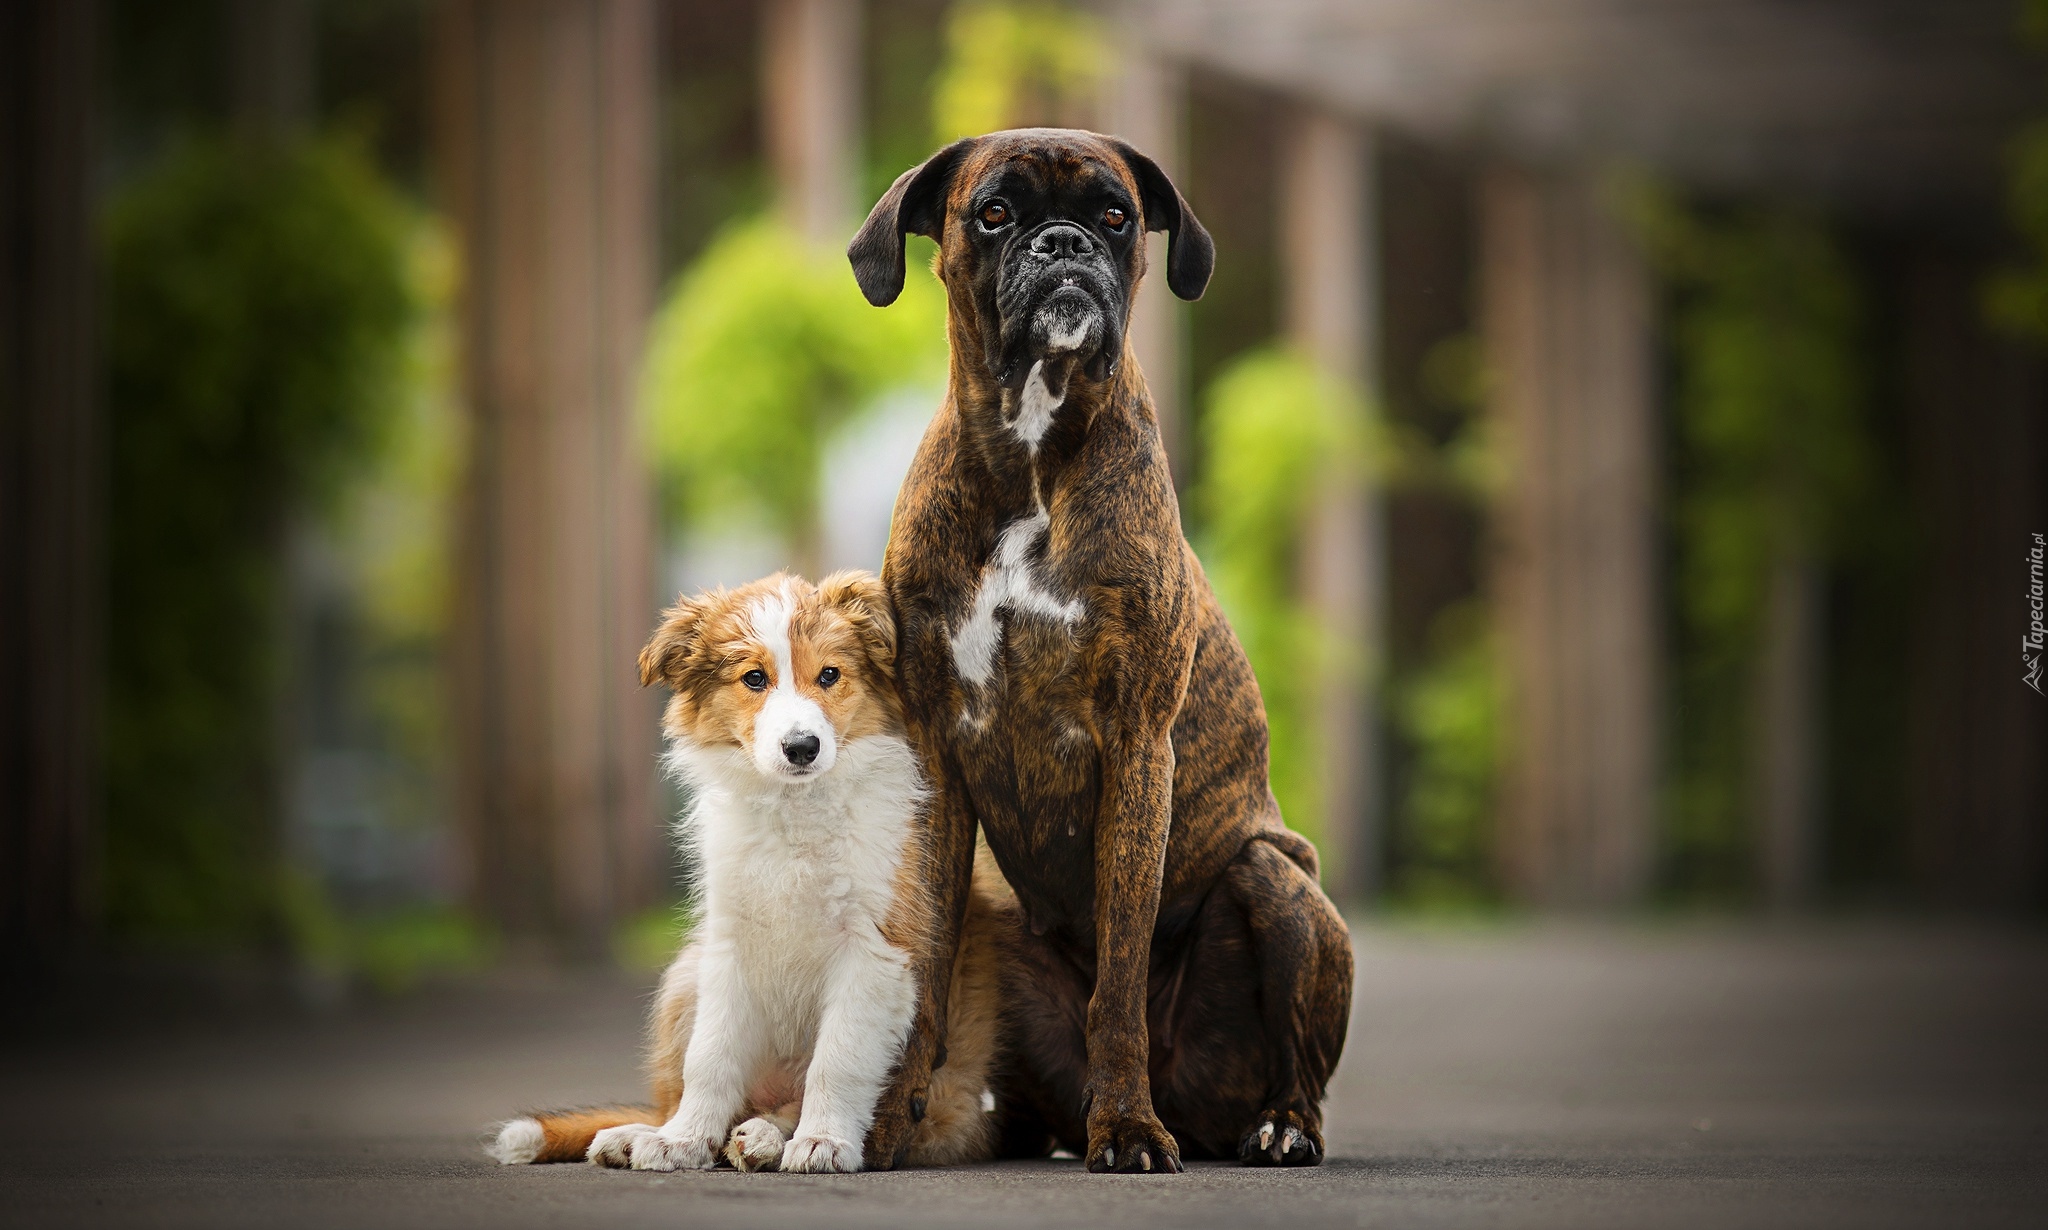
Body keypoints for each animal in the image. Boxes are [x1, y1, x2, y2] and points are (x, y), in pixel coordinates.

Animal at [491, 568, 1011, 1178]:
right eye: (754, 678)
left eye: (830, 675)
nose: (802, 747)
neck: (796, 809)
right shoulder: (730, 943)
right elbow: (710, 1058)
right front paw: (682, 1141)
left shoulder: (876, 950)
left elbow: (836, 1060)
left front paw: (823, 1141)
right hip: (685, 975)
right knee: (691, 1095)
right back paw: (649, 1132)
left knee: (785, 1104)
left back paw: (763, 1137)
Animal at [851, 129, 1351, 1178]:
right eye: (994, 213)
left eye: (1117, 215)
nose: (1064, 243)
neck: (1032, 456)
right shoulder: (936, 762)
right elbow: (923, 968)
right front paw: (879, 1123)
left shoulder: (1135, 749)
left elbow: (1119, 973)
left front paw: (1126, 1127)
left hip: (1279, 883)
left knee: (1298, 1064)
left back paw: (1274, 1125)